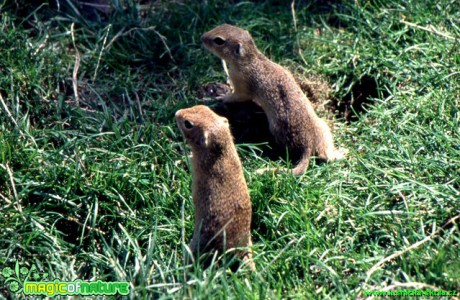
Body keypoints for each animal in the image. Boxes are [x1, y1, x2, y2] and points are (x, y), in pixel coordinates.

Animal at [175, 105, 255, 270]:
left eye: (188, 124)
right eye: (203, 107)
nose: (177, 113)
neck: (221, 151)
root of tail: (241, 249)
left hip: (198, 244)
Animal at [199, 24, 346, 176]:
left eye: (219, 41)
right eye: (222, 25)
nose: (202, 37)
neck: (252, 59)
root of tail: (308, 145)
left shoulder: (242, 84)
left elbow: (237, 96)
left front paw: (221, 96)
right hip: (323, 126)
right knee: (324, 155)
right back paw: (340, 153)